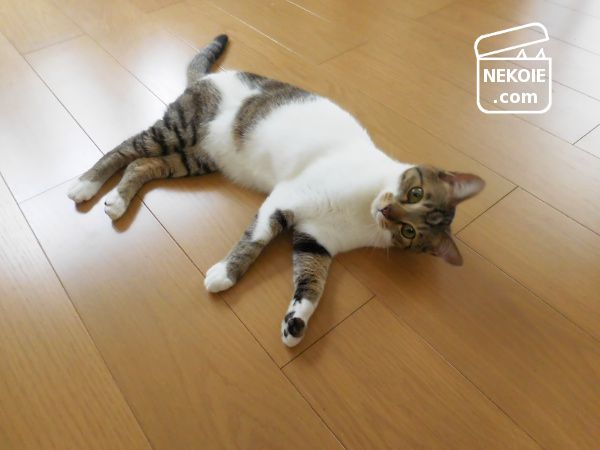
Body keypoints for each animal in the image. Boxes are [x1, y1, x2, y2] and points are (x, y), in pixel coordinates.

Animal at [67, 34, 485, 347]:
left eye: (409, 232)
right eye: (415, 194)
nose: (387, 212)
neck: (361, 212)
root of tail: (210, 77)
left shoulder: (316, 240)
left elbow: (312, 282)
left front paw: (296, 322)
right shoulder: (285, 198)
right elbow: (255, 239)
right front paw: (225, 274)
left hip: (196, 158)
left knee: (142, 166)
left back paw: (118, 201)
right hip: (178, 128)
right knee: (125, 150)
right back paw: (86, 184)